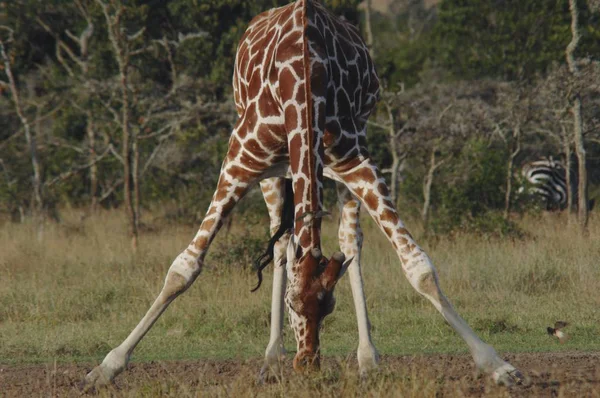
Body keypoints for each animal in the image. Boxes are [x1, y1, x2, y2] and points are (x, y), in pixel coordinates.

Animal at [83, 0, 520, 388]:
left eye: (329, 306)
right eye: (294, 302)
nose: (307, 364)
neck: (304, 81)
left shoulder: (355, 160)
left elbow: (418, 267)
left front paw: (498, 365)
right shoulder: (239, 160)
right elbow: (183, 269)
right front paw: (104, 368)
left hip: (343, 156)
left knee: (349, 239)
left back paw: (366, 359)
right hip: (274, 171)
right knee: (280, 241)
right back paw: (270, 359)